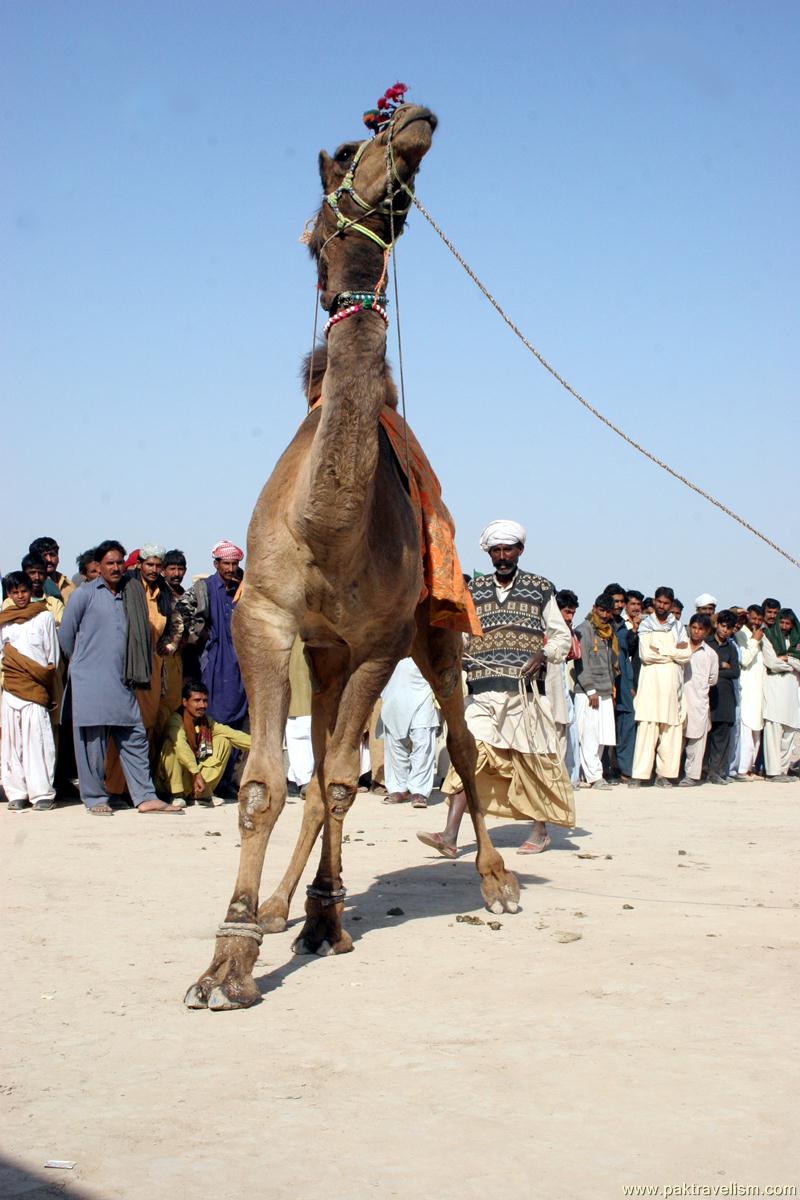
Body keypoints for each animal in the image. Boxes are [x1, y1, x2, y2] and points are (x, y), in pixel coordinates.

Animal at [188, 103, 525, 1008]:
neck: (327, 528)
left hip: (429, 638)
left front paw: (303, 925)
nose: (410, 121)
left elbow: (340, 780)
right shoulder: (266, 618)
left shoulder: (377, 639)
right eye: (347, 154)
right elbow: (267, 783)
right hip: (325, 653)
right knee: (316, 777)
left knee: (461, 748)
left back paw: (490, 883)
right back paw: (289, 909)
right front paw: (231, 956)